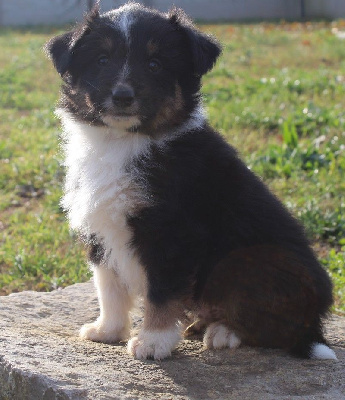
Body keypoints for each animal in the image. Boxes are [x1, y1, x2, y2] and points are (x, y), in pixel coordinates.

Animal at [45, 2, 336, 360]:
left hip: (250, 261)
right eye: (102, 60)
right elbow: (108, 285)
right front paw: (107, 330)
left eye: (155, 65)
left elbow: (161, 293)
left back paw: (223, 332)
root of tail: (314, 325)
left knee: (271, 327)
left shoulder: (171, 232)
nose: (123, 96)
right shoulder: (100, 226)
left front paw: (153, 341)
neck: (124, 141)